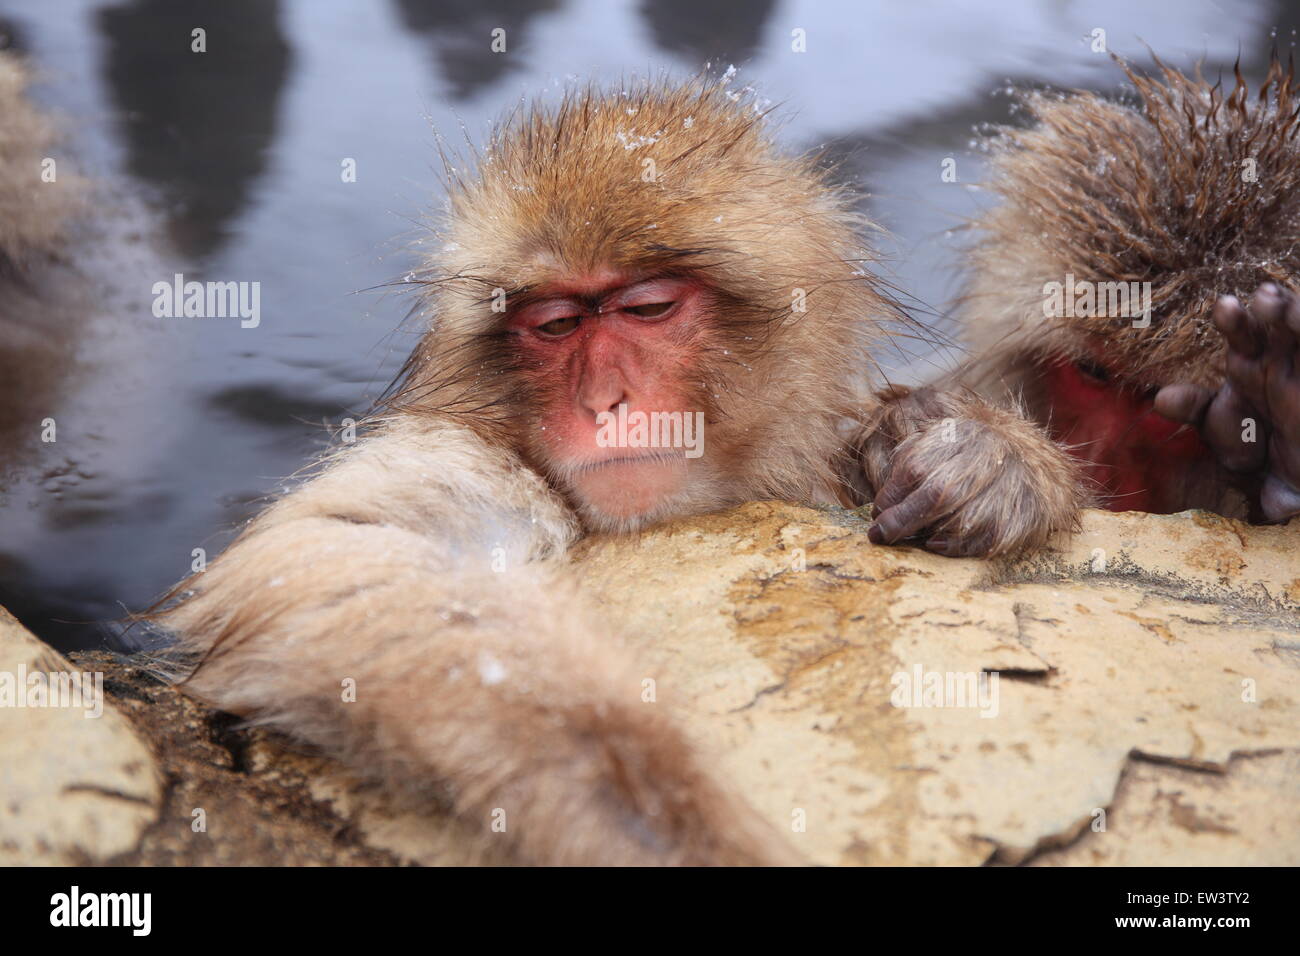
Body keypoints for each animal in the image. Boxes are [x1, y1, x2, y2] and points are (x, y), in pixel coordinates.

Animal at [152, 78, 1085, 866]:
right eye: (556, 323)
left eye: (647, 307)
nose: (605, 400)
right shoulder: (484, 457)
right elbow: (331, 547)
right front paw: (663, 821)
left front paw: (983, 460)